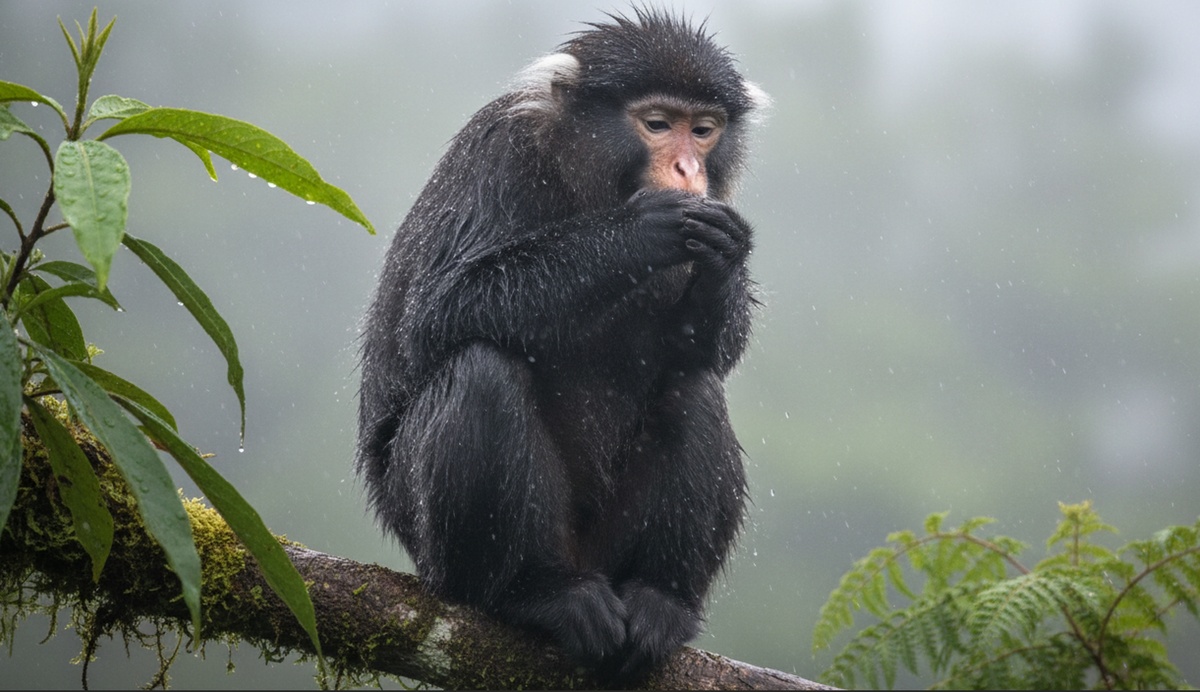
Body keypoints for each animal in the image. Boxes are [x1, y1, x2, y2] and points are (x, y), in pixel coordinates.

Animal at [356, 8, 768, 680]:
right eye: (658, 124)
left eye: (703, 131)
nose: (689, 170)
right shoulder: (499, 152)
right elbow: (439, 310)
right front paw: (643, 230)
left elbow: (703, 354)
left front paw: (723, 258)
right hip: (433, 543)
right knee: (482, 369)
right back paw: (529, 593)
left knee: (693, 389)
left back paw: (661, 601)